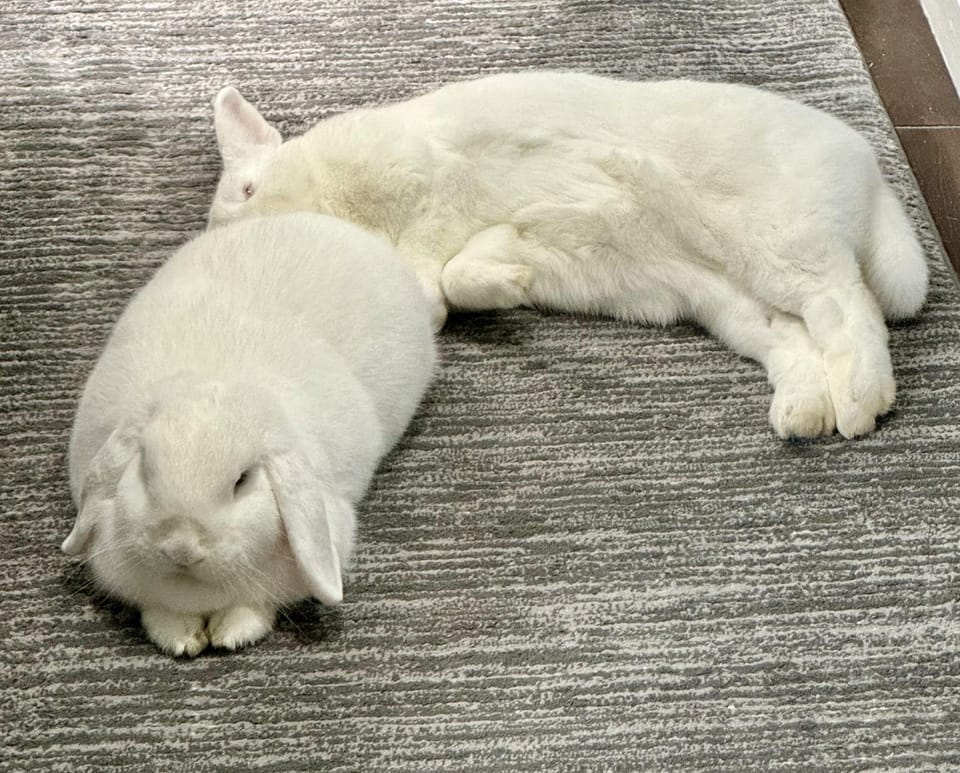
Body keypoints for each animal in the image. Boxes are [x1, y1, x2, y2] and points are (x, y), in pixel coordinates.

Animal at [63, 213, 436, 656]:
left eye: (242, 481)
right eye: (144, 473)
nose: (181, 547)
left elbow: (253, 608)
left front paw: (230, 634)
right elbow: (159, 610)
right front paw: (183, 639)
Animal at [208, 70, 928, 441]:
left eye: (248, 188)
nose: (249, 234)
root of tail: (869, 173)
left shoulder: (427, 187)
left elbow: (444, 266)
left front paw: (493, 275)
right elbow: (457, 277)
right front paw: (508, 270)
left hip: (780, 243)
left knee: (849, 303)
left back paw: (861, 402)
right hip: (729, 303)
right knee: (796, 340)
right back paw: (805, 413)